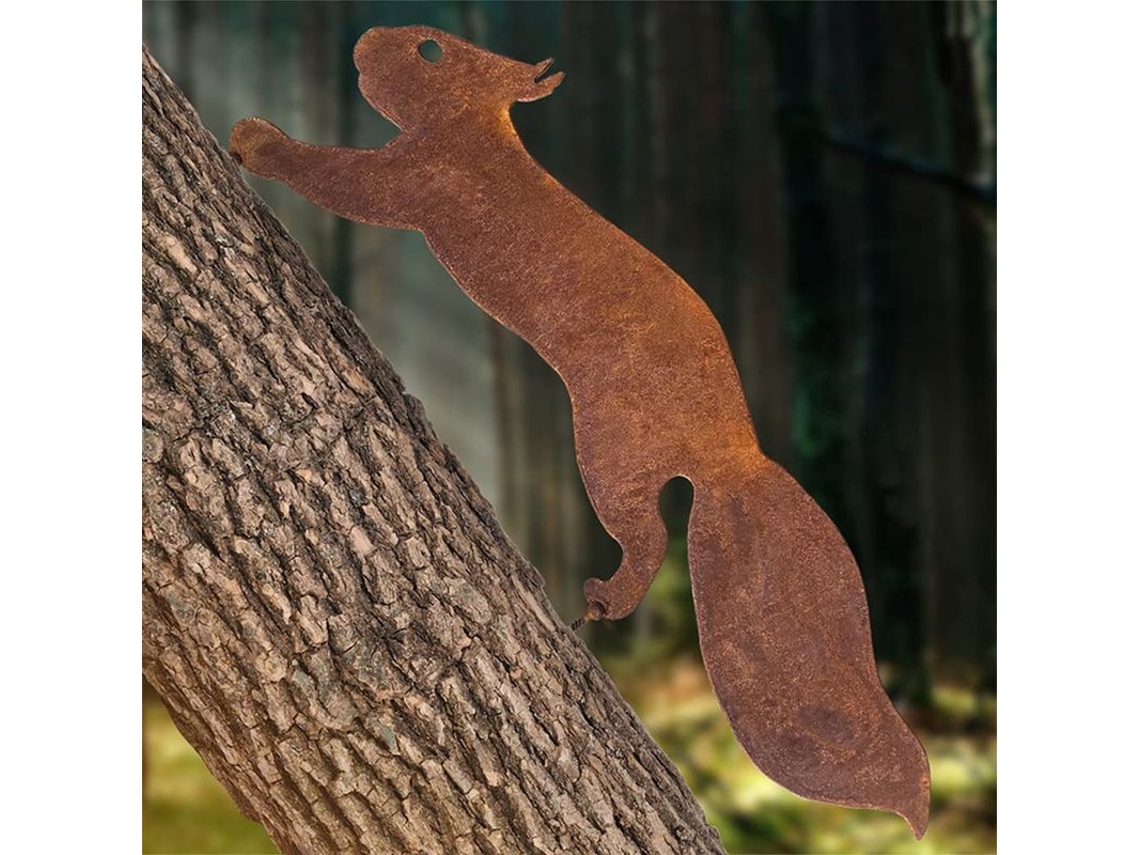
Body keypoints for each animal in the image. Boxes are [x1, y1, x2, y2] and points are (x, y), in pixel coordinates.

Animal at [232, 25, 930, 836]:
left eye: (430, 48)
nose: (368, 39)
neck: (483, 133)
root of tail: (733, 456)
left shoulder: (420, 177)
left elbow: (342, 179)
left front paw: (254, 138)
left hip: (610, 454)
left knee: (650, 536)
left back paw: (601, 597)